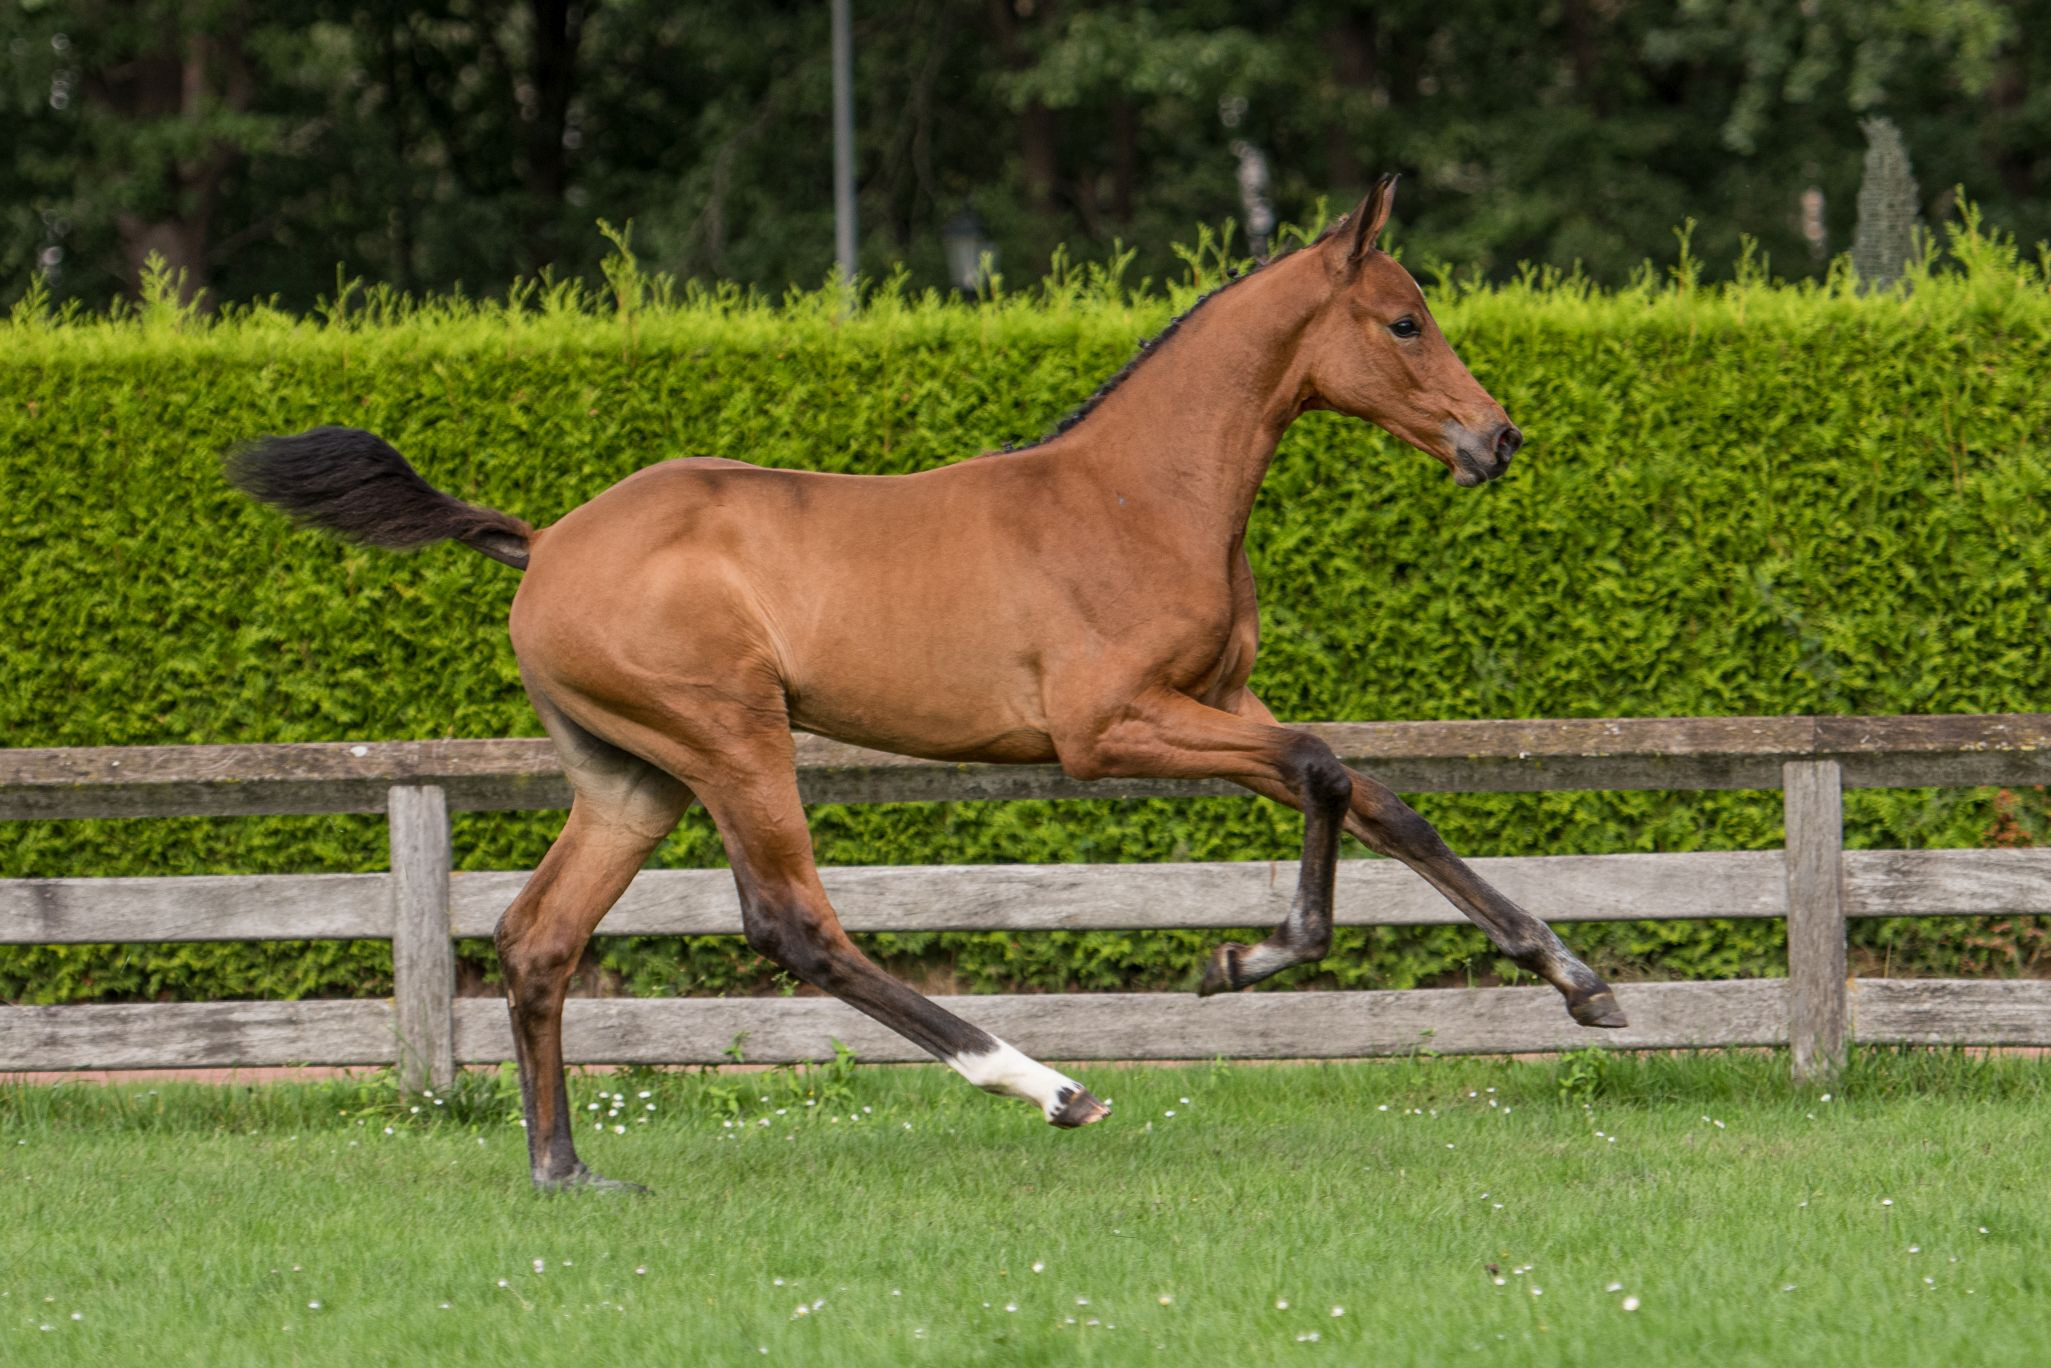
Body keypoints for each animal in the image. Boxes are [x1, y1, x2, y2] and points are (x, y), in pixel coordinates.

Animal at [229, 176, 1625, 1192]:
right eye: (1403, 321)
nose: (1495, 438)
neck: (1137, 496)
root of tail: (546, 542)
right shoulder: (1106, 731)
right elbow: (1323, 771)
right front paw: (1246, 959)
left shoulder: (1217, 705)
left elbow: (1383, 801)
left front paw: (1575, 978)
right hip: (733, 740)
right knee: (793, 927)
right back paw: (1049, 1086)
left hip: (632, 778)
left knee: (537, 939)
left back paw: (565, 1170)